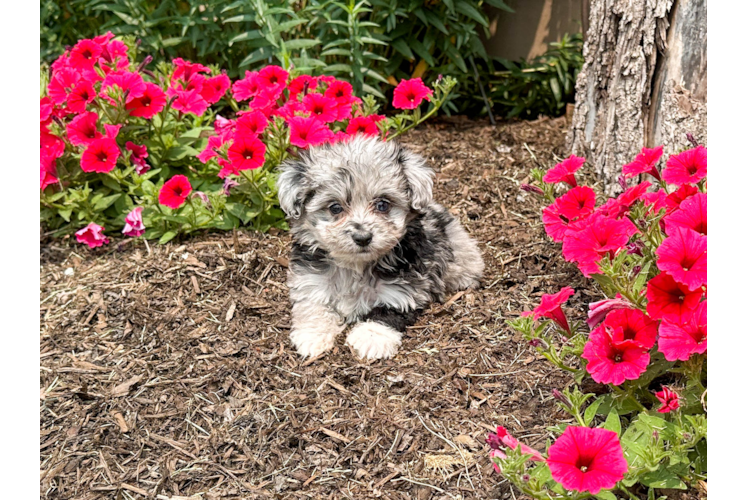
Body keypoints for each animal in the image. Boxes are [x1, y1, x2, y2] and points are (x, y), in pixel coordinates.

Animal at [276, 133, 486, 360]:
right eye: (335, 208)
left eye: (383, 205)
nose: (362, 237)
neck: (355, 266)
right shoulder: (311, 281)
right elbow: (312, 306)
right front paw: (313, 335)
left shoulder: (403, 290)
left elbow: (386, 313)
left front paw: (371, 337)